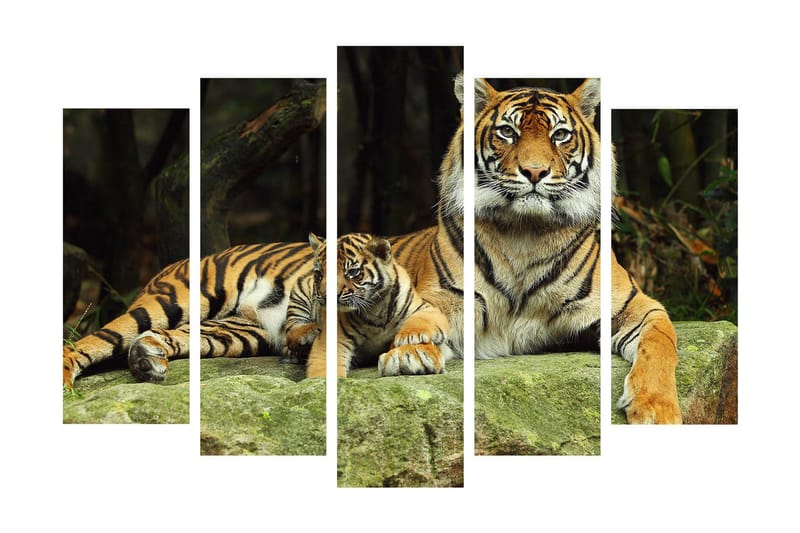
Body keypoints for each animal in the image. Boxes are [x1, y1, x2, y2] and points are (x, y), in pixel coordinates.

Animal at [302, 232, 451, 378]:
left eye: (352, 272)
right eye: (319, 274)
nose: (326, 296)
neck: (375, 308)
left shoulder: (428, 308)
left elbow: (420, 319)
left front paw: (409, 336)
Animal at [386, 74, 681, 424]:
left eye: (560, 135)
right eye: (507, 132)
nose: (535, 171)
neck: (525, 233)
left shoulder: (634, 305)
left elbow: (660, 344)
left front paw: (657, 410)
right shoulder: (446, 296)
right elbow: (419, 317)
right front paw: (410, 351)